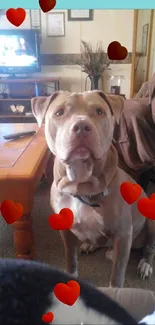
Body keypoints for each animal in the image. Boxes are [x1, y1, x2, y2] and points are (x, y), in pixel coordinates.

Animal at [30, 90, 155, 286]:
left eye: (99, 111)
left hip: (150, 221)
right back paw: (91, 244)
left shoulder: (123, 234)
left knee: (149, 247)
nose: (81, 126)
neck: (81, 186)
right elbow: (70, 258)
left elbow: (117, 276)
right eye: (59, 112)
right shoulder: (65, 230)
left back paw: (145, 264)